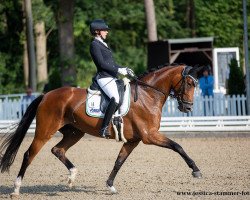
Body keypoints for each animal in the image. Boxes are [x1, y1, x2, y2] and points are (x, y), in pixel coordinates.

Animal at [0, 64, 203, 197]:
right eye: (190, 84)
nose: (188, 107)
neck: (148, 96)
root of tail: (46, 95)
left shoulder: (133, 140)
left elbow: (119, 161)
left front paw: (110, 186)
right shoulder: (149, 136)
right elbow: (177, 146)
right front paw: (196, 170)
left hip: (75, 132)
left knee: (58, 150)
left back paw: (72, 176)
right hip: (45, 131)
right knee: (29, 154)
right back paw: (16, 189)